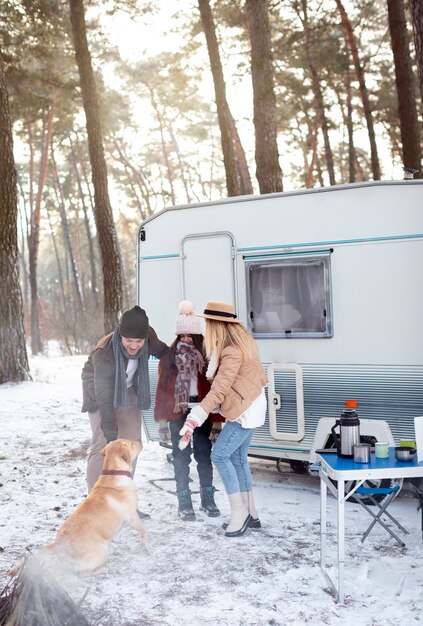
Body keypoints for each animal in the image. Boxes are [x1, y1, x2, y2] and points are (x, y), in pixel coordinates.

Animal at [8, 436, 149, 572]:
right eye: (131, 443)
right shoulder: (132, 517)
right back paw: (103, 569)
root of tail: (58, 545)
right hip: (101, 553)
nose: (139, 440)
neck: (113, 472)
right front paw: (146, 544)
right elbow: (144, 530)